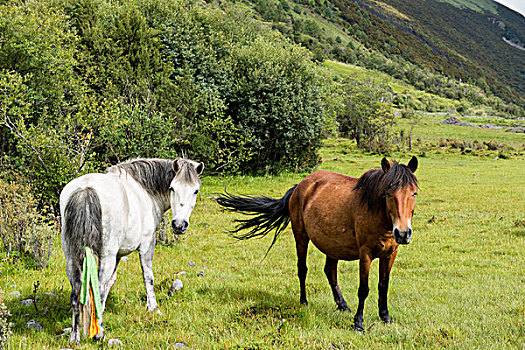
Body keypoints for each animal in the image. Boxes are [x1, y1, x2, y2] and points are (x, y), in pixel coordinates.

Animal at [59, 157, 203, 344]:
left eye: (195, 191)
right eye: (172, 188)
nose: (179, 225)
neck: (145, 191)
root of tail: (86, 189)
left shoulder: (118, 255)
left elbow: (110, 283)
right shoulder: (147, 245)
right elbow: (148, 277)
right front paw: (153, 308)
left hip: (72, 257)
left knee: (76, 293)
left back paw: (75, 337)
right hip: (106, 256)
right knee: (97, 289)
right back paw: (99, 334)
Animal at [216, 157, 418, 330]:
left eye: (414, 193)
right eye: (388, 194)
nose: (403, 233)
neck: (377, 212)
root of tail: (300, 185)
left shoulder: (390, 253)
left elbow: (383, 285)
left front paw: (385, 317)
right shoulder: (365, 253)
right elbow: (363, 289)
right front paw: (358, 323)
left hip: (332, 245)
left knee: (330, 272)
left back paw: (342, 305)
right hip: (301, 236)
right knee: (302, 269)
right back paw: (304, 302)